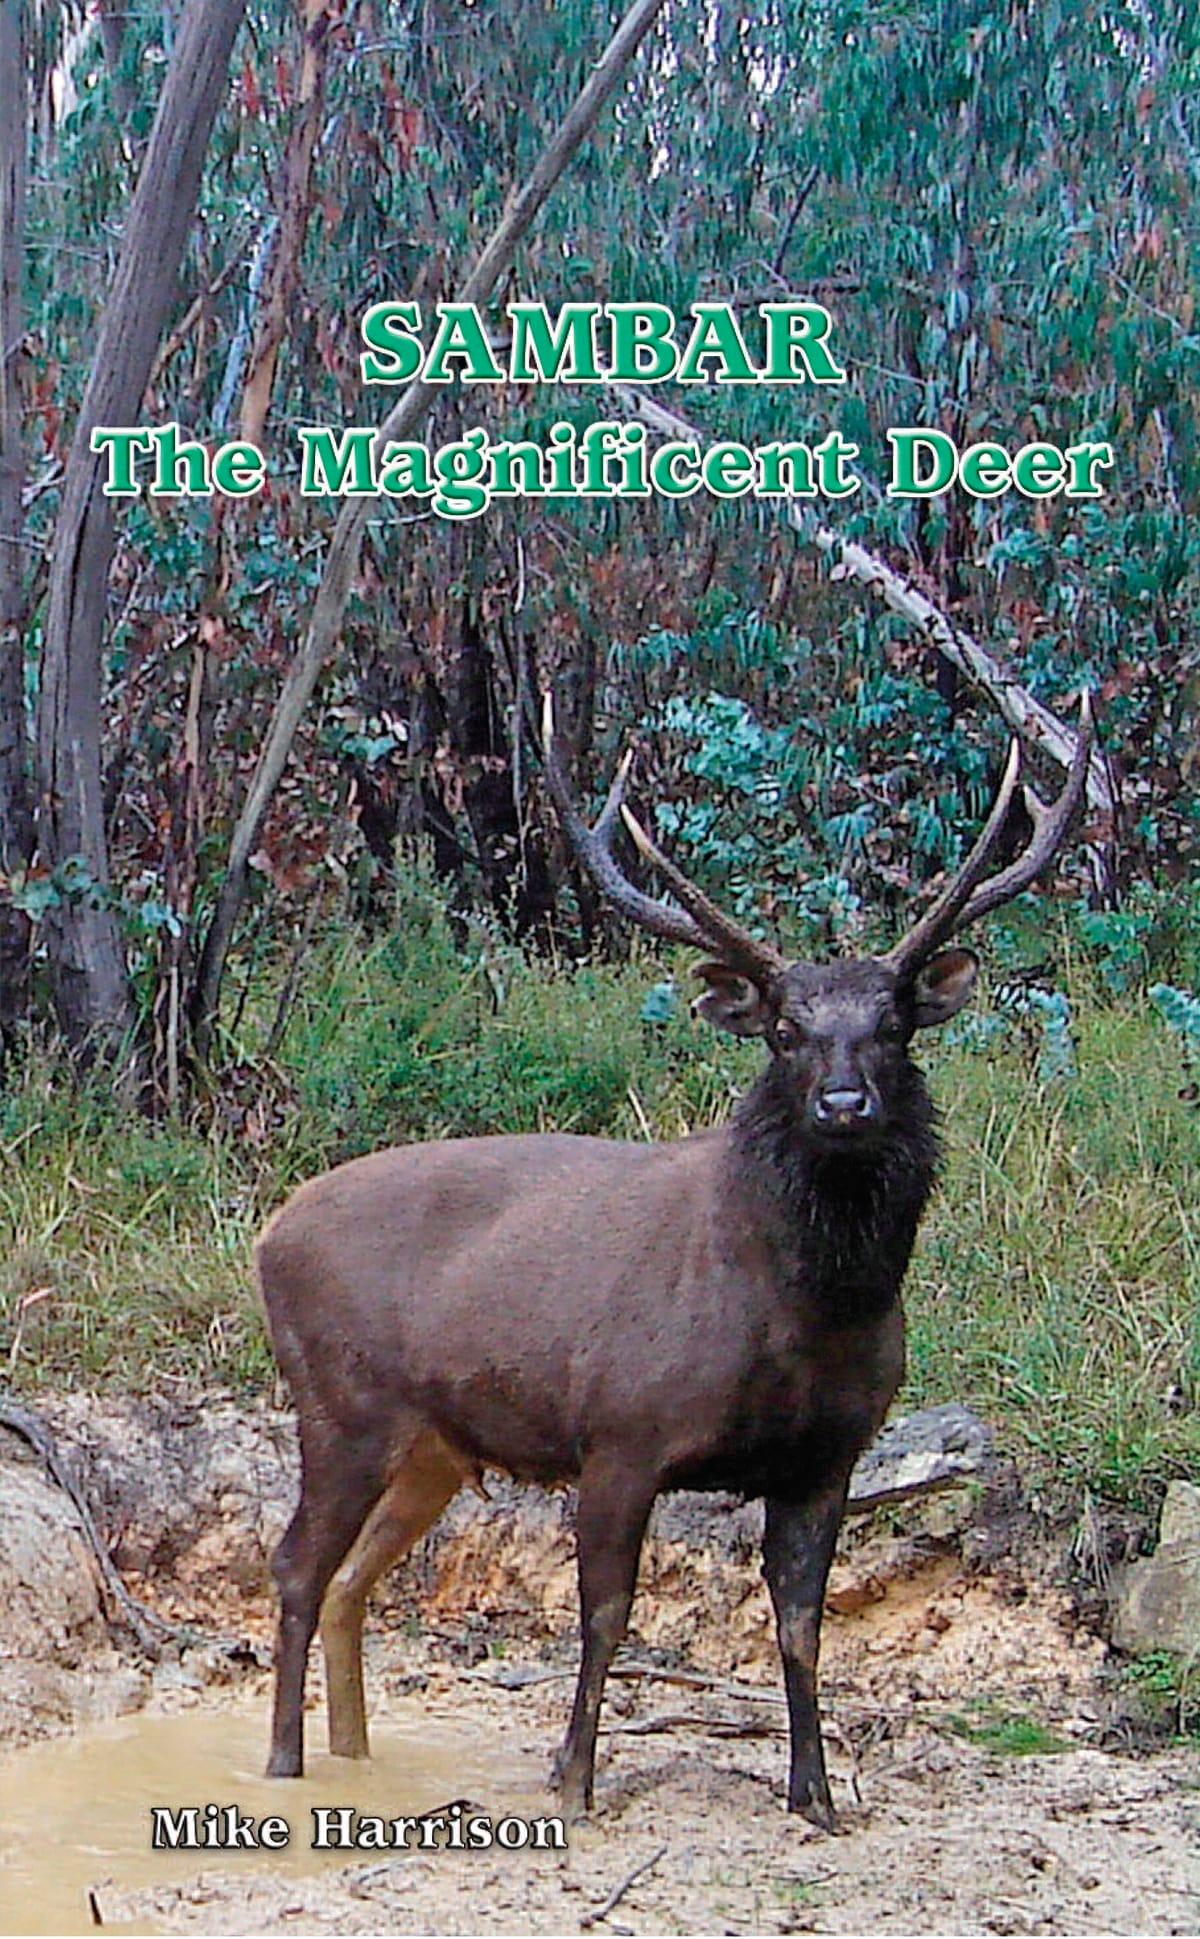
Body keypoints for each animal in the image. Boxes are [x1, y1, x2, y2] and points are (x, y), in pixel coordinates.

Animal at [258, 691, 1094, 1828]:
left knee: (352, 1581)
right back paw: (285, 1763)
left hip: (434, 1443)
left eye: (893, 1025)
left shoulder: (830, 1456)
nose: (844, 1102)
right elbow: (605, 1614)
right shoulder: (622, 1430)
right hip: (341, 1403)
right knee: (298, 1568)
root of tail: (268, 1236)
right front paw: (572, 1780)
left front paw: (816, 1793)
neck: (799, 1317)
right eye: (784, 1030)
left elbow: (801, 1624)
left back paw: (354, 1753)